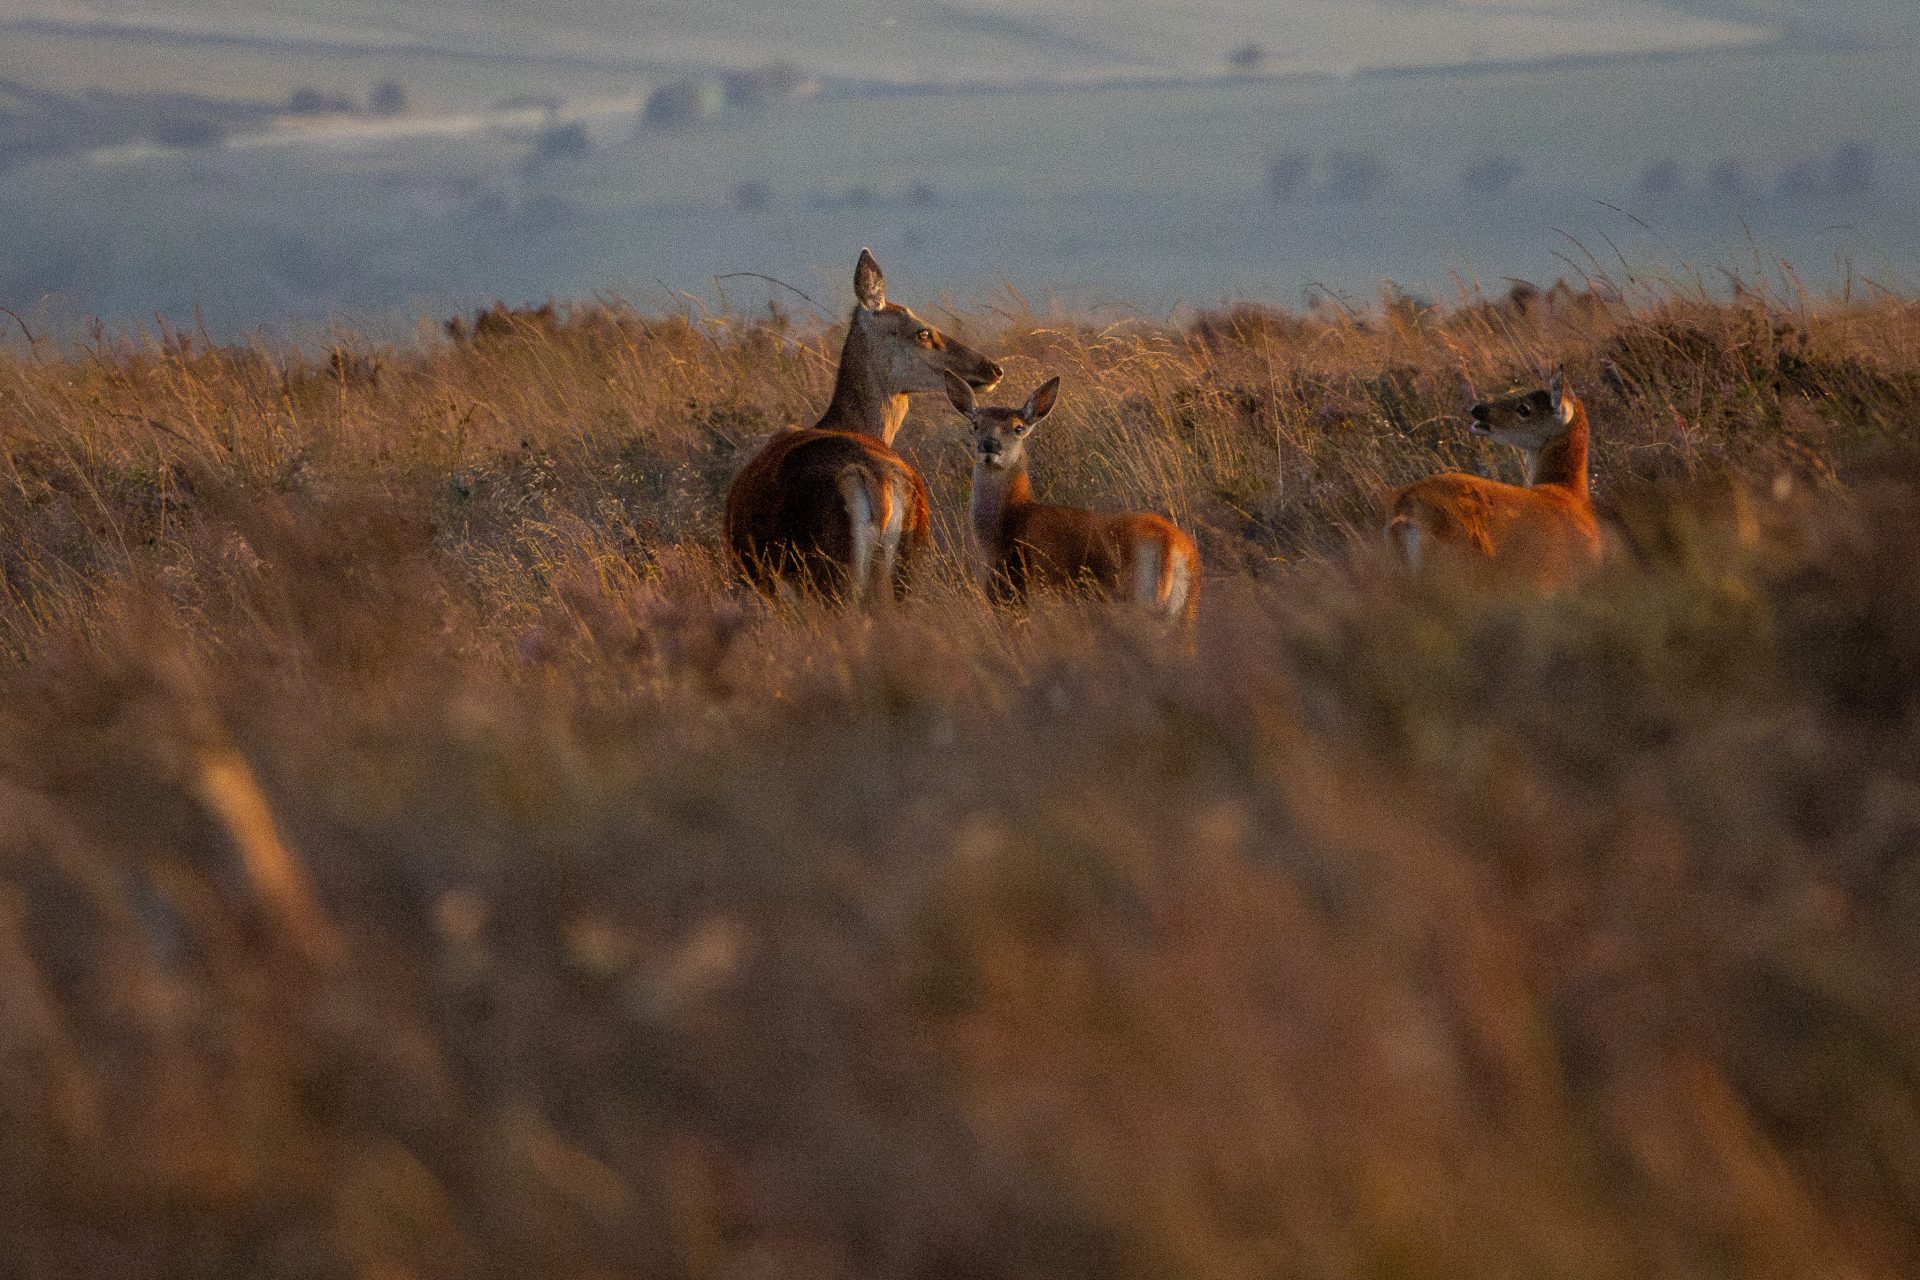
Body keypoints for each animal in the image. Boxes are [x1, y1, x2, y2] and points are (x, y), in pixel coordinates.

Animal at [725, 248, 1003, 603]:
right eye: (923, 331)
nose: (993, 368)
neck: (846, 422)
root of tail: (880, 486)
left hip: (827, 574)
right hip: (902, 572)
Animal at [944, 371, 1200, 620]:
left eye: (1018, 428)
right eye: (975, 425)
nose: (989, 445)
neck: (1010, 516)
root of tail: (1174, 545)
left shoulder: (1012, 587)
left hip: (1136, 595)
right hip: (1184, 611)